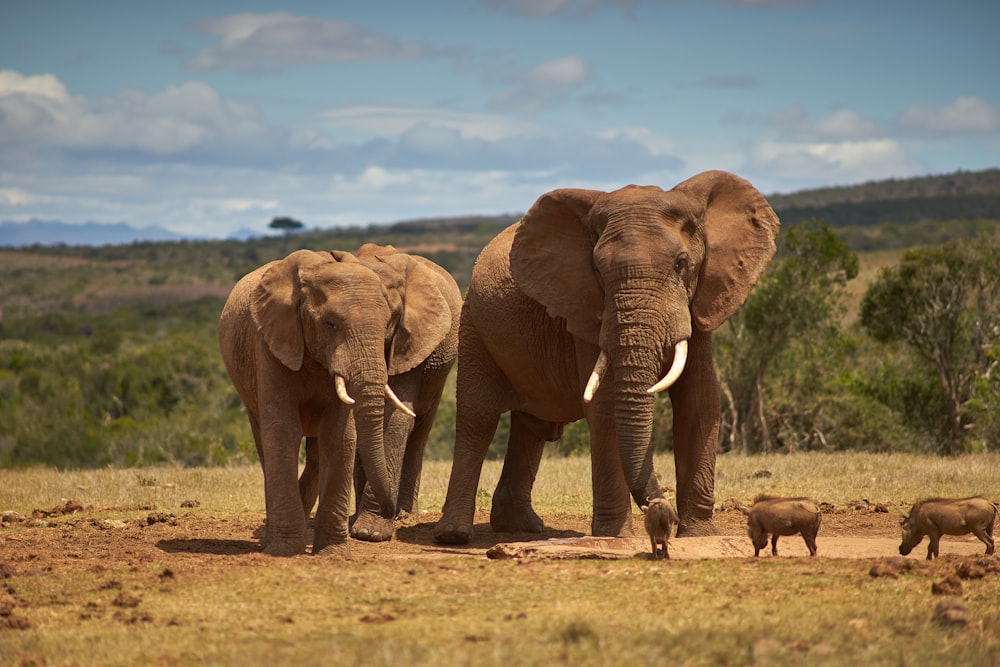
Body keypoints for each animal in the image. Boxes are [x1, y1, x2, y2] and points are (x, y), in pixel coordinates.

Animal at [219, 243, 460, 556]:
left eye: (390, 322)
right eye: (329, 325)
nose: (390, 509)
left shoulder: (410, 344)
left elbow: (368, 427)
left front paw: (366, 534)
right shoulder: (271, 343)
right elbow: (285, 429)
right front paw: (286, 549)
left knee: (417, 430)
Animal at [434, 170, 776, 544]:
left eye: (681, 264)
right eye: (598, 269)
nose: (660, 509)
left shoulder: (700, 302)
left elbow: (699, 400)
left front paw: (700, 535)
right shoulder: (585, 309)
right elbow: (605, 403)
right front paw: (617, 537)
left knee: (533, 426)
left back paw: (521, 527)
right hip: (472, 324)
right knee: (478, 419)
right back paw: (454, 535)